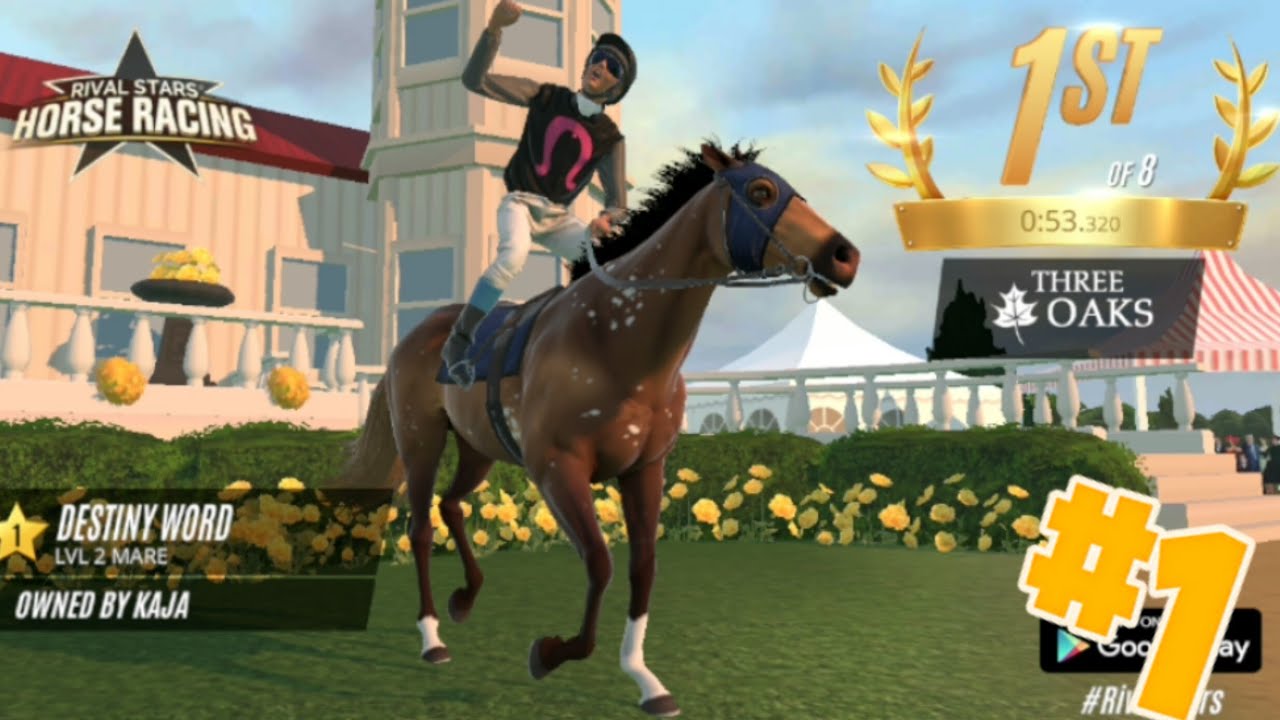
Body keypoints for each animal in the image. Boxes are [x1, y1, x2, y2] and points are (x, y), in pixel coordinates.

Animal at [338, 141, 859, 716]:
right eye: (762, 191)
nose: (845, 256)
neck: (615, 340)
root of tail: (414, 337)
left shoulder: (645, 468)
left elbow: (642, 567)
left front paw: (645, 678)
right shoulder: (556, 469)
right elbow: (600, 562)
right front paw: (551, 652)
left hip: (478, 447)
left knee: (452, 504)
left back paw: (465, 599)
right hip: (421, 439)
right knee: (421, 526)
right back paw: (432, 637)